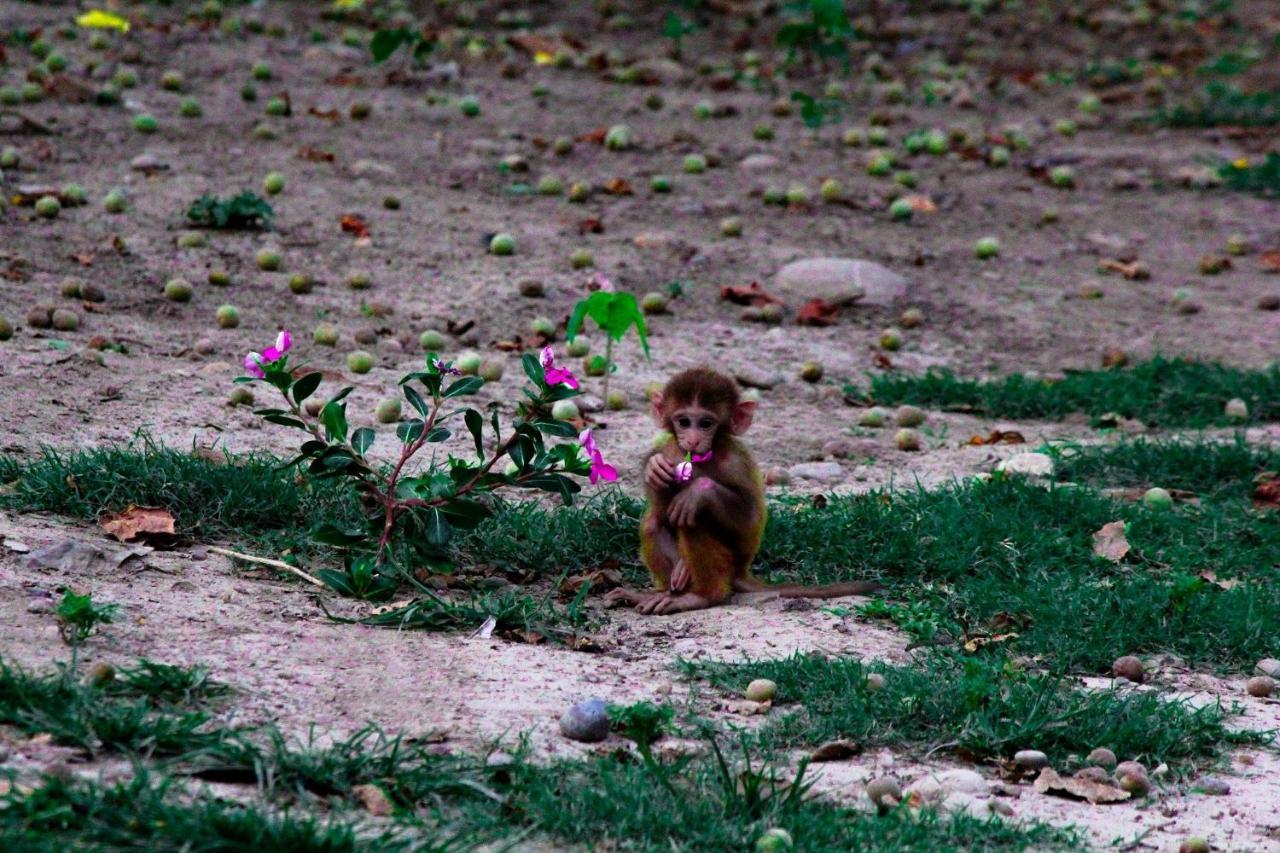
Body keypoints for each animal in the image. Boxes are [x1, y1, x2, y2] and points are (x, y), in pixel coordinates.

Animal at [606, 366, 880, 612]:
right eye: (683, 422)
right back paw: (663, 593)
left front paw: (699, 490)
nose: (693, 440)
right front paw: (654, 469)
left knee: (694, 517)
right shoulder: (670, 451)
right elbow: (661, 506)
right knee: (653, 522)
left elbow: (748, 518)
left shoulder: (736, 463)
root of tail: (739, 573)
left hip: (729, 564)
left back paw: (701, 596)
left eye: (706, 424)